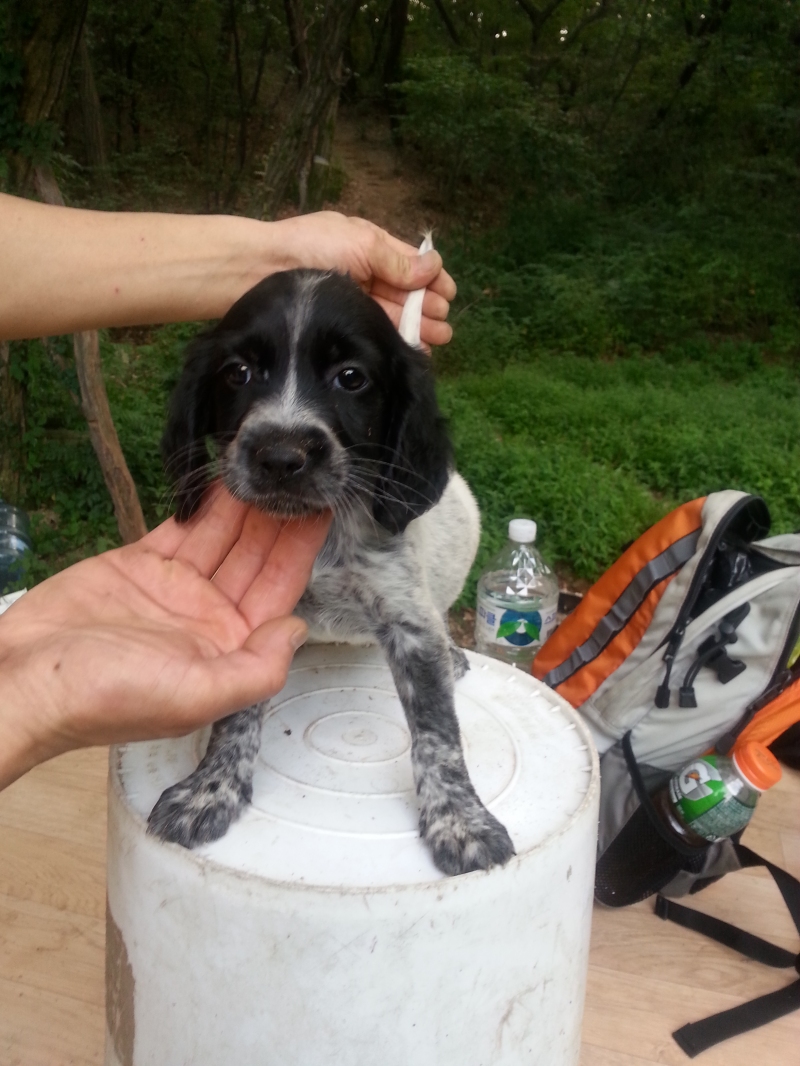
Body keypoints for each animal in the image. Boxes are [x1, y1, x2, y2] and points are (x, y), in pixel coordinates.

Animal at [146, 268, 515, 876]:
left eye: (351, 378)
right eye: (237, 372)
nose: (280, 456)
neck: (321, 538)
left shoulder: (410, 627)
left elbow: (437, 733)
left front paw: (460, 821)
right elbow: (235, 715)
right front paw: (210, 789)